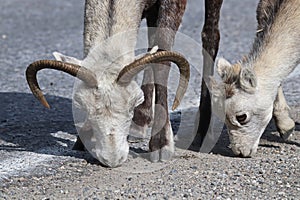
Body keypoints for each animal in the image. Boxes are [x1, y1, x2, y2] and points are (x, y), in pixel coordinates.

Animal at [26, 0, 190, 167]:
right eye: (82, 106)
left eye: (133, 104)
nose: (112, 159)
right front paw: (81, 142)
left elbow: (161, 61)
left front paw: (161, 145)